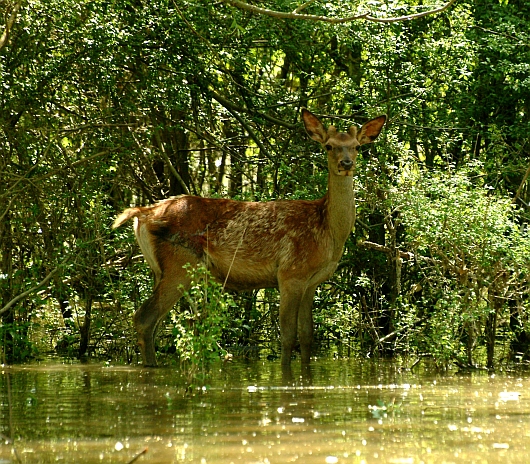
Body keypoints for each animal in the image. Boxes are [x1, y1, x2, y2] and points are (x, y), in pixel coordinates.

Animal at [112, 109, 384, 366]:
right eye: (328, 146)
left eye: (357, 146)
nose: (346, 163)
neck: (327, 230)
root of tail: (143, 213)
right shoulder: (291, 273)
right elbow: (288, 336)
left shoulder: (312, 282)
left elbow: (307, 336)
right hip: (179, 264)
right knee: (145, 318)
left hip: (163, 270)